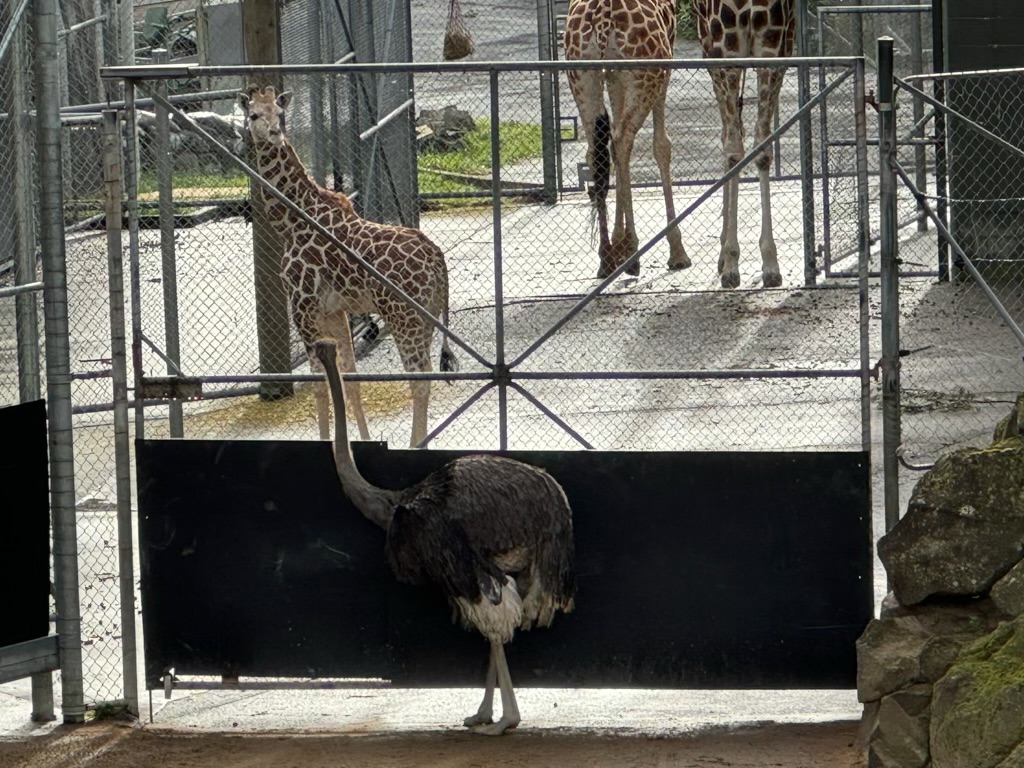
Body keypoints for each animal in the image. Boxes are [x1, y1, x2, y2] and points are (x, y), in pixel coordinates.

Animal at [238, 85, 456, 448]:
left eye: (280, 114)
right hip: (425, 318)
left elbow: (320, 384)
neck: (290, 220)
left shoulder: (302, 305)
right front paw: (363, 442)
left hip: (405, 319)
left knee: (419, 380)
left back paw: (415, 445)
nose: (274, 134)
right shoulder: (335, 311)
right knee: (423, 377)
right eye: (254, 114)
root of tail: (438, 260)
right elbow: (349, 379)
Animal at [563, 0, 690, 279]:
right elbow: (662, 145)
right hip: (646, 75)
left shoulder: (612, 74)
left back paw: (606, 258)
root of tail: (601, 19)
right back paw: (632, 253)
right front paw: (677, 253)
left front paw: (616, 242)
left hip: (581, 76)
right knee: (622, 140)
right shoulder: (666, 62)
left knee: (597, 151)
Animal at [691, 0, 795, 289]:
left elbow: (762, 149)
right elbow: (735, 151)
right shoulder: (727, 47)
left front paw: (770, 264)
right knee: (728, 134)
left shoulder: (771, 47)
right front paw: (731, 263)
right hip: (711, 50)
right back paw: (722, 254)